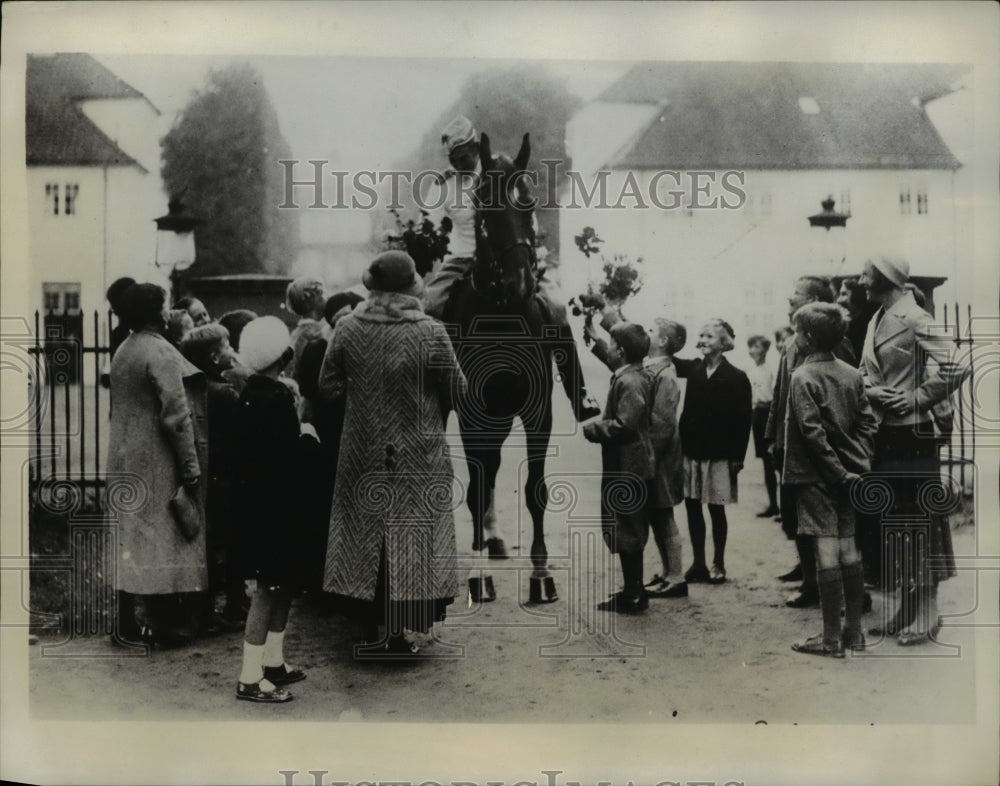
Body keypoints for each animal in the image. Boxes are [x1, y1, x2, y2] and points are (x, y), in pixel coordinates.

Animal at [444, 132, 584, 604]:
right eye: (485, 206)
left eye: (529, 203)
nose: (521, 281)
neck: (502, 319)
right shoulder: (471, 415)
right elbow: (476, 489)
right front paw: (478, 576)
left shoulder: (538, 411)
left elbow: (534, 490)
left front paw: (541, 577)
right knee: (483, 476)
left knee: (493, 469)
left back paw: (495, 538)